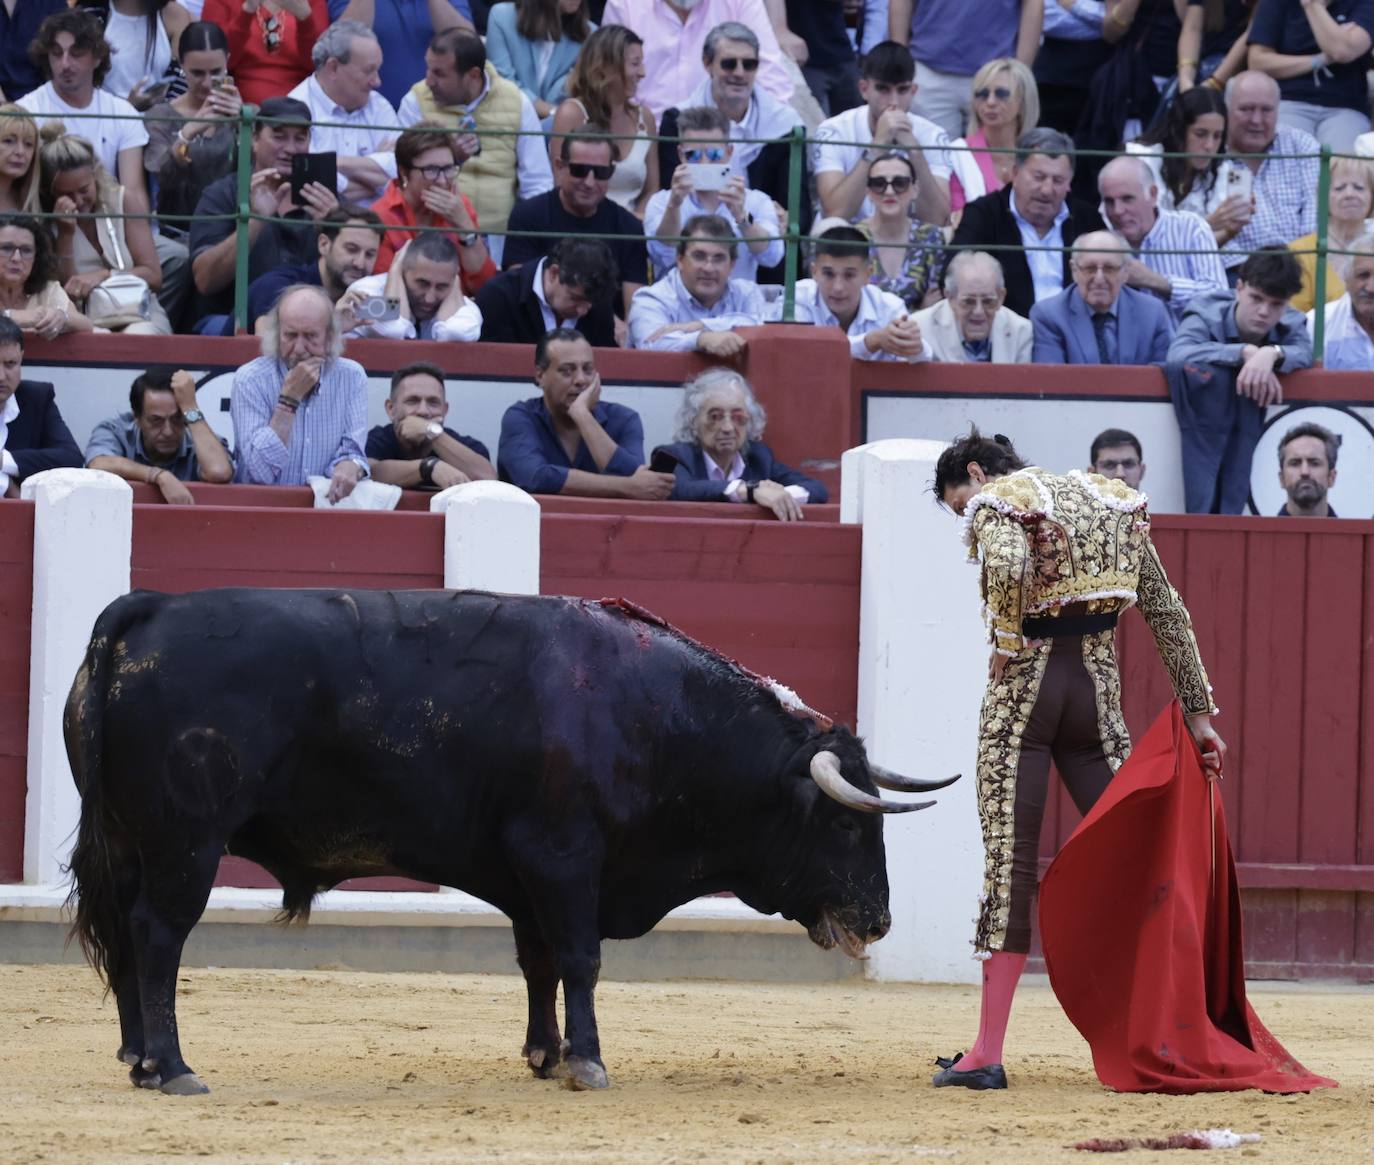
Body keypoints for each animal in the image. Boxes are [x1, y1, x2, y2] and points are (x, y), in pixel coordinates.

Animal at [64, 590, 956, 1093]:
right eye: (845, 820)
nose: (878, 919)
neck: (652, 715)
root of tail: (144, 608)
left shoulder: (528, 872)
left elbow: (539, 962)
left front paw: (544, 1053)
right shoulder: (563, 858)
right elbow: (581, 959)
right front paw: (588, 1062)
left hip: (129, 839)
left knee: (127, 934)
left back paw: (137, 1058)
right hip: (187, 841)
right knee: (158, 935)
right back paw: (174, 1067)